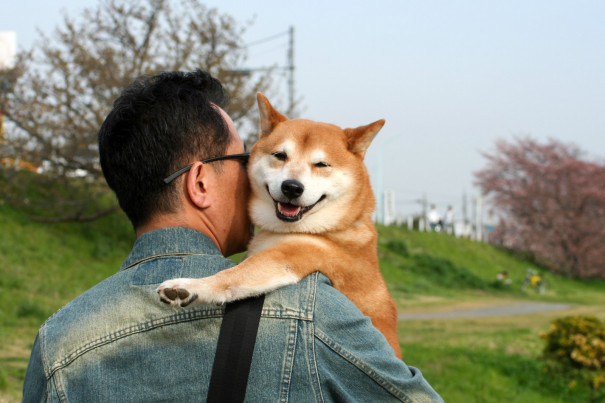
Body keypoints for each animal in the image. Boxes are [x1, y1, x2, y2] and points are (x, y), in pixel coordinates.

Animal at [158, 93, 398, 358]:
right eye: (280, 155)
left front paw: (190, 286)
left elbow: (232, 274)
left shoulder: (290, 256)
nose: (292, 187)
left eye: (321, 165)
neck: (332, 229)